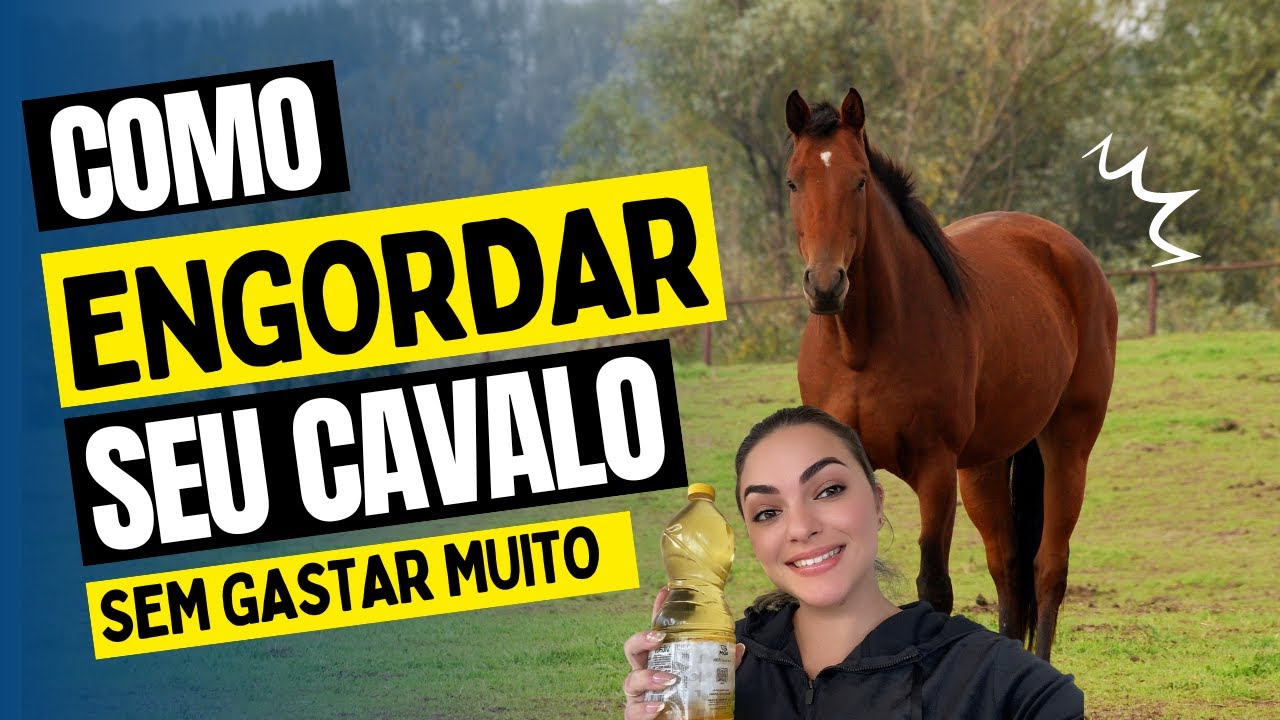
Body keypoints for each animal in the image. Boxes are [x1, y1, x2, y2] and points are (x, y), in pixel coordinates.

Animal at [784, 88, 1117, 661]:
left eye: (859, 180)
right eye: (793, 181)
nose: (826, 284)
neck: (861, 347)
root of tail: (1068, 252)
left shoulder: (936, 471)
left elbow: (934, 588)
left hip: (1067, 447)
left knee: (1048, 569)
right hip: (984, 466)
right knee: (1009, 569)